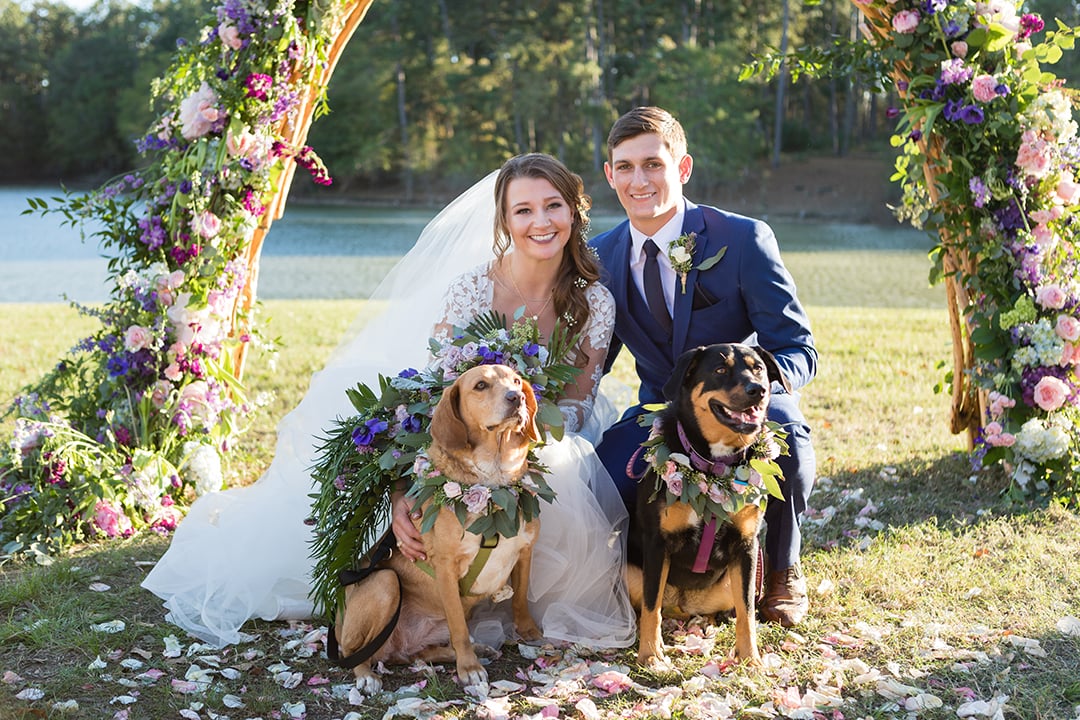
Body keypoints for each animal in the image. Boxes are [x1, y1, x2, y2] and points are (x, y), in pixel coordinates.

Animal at [330, 367, 548, 690]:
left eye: (517, 381)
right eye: (480, 385)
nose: (516, 397)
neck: (494, 482)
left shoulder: (524, 551)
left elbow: (520, 599)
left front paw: (529, 632)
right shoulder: (446, 567)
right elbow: (458, 627)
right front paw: (469, 668)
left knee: (422, 653)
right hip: (384, 584)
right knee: (354, 652)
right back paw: (367, 675)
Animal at [626, 343, 786, 669]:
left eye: (759, 368)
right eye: (720, 370)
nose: (758, 390)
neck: (715, 465)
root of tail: (683, 605)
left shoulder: (747, 546)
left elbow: (747, 610)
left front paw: (750, 659)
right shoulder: (657, 543)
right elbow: (651, 604)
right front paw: (650, 655)